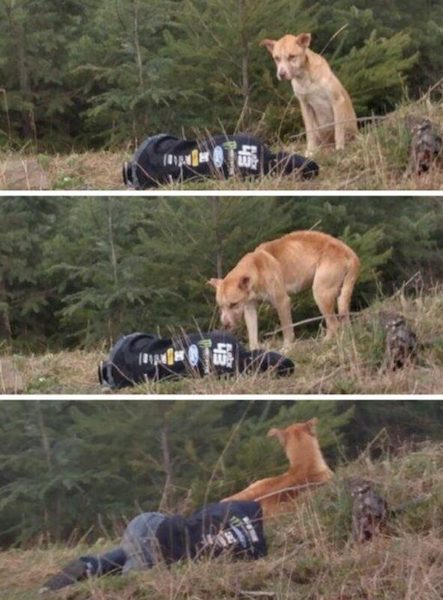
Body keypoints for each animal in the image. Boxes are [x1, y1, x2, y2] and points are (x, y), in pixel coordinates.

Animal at [208, 230, 360, 352]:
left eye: (233, 304)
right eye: (220, 306)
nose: (225, 324)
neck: (256, 269)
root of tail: (350, 253)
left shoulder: (282, 302)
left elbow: (287, 329)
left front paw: (287, 348)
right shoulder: (249, 308)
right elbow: (252, 334)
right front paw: (254, 352)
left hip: (320, 293)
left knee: (334, 324)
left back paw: (325, 343)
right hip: (340, 296)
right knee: (342, 321)